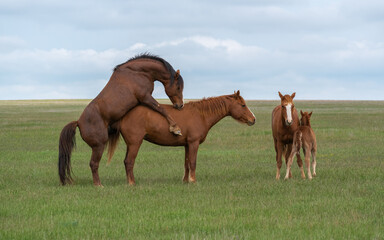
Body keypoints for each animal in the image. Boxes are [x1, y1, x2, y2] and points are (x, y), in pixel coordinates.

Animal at [59, 53, 185, 187]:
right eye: (178, 87)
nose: (180, 105)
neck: (138, 72)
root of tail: (78, 122)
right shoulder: (145, 97)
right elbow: (161, 109)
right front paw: (175, 128)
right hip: (99, 146)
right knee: (93, 164)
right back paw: (99, 185)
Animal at [106, 91, 255, 185]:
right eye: (243, 105)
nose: (253, 119)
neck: (201, 114)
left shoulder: (187, 145)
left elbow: (187, 163)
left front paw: (185, 181)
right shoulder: (194, 143)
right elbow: (193, 162)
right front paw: (193, 181)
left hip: (130, 144)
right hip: (135, 143)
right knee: (129, 162)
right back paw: (132, 183)